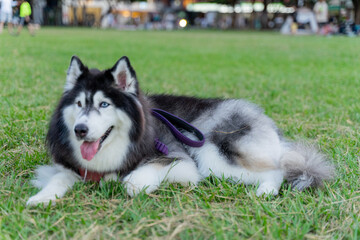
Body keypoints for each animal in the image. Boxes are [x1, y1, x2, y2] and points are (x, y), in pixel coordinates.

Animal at [26, 56, 334, 206]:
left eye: (104, 104)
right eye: (79, 104)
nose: (80, 130)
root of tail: (265, 121)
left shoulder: (181, 161)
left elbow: (135, 179)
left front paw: (129, 182)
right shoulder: (70, 168)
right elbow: (59, 179)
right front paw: (42, 198)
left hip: (211, 155)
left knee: (277, 170)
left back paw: (265, 192)